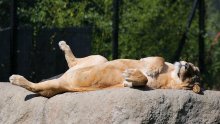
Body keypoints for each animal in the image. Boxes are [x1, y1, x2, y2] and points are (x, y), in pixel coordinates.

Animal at [9, 41, 201, 97]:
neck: (168, 76)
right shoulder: (149, 60)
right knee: (74, 62)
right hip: (101, 59)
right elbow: (156, 61)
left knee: (34, 87)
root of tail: (64, 77)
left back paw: (16, 78)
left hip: (55, 87)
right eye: (193, 69)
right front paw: (149, 69)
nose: (185, 65)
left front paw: (131, 75)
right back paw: (63, 45)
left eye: (191, 74)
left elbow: (142, 80)